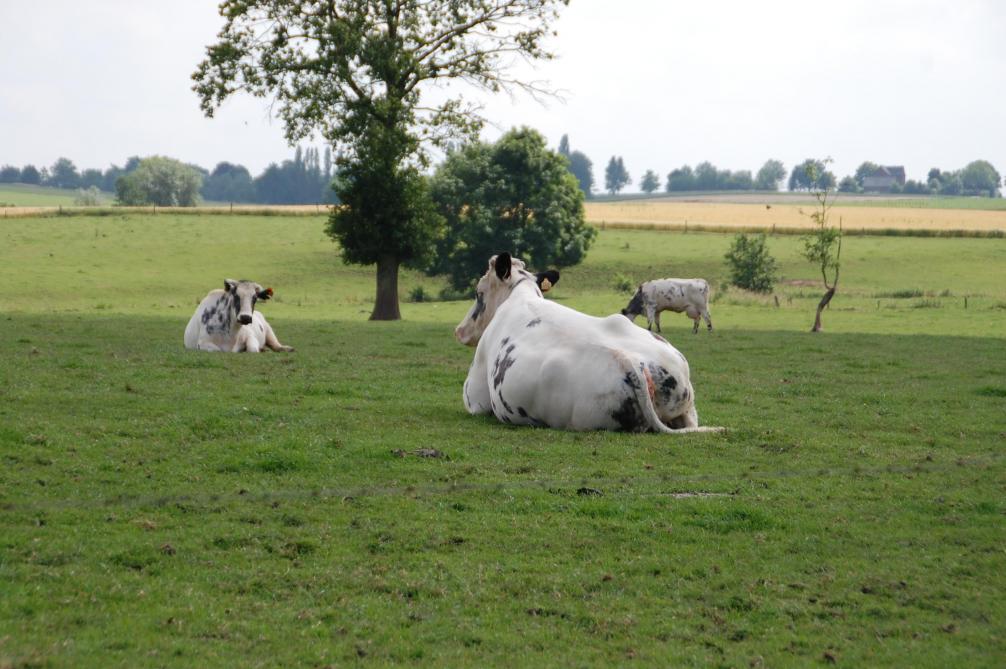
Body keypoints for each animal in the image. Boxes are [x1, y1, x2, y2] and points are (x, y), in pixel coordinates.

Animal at [456, 251, 724, 432]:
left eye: (478, 293)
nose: (460, 331)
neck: (520, 294)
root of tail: (636, 365)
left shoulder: (475, 396)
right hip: (687, 407)